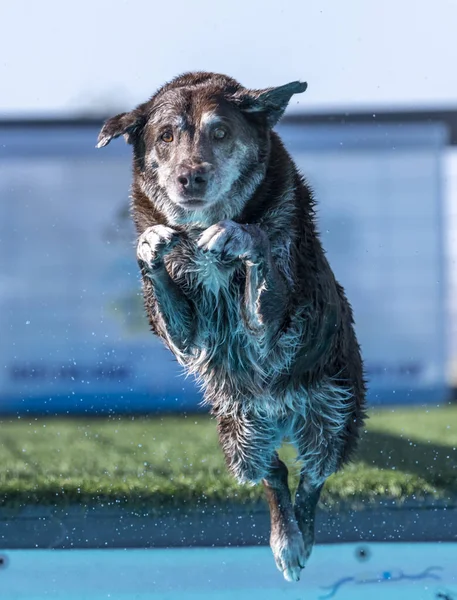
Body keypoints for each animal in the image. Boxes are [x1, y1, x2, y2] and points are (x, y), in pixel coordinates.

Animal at [97, 72, 366, 584]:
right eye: (166, 136)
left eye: (220, 132)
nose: (190, 176)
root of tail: (282, 415)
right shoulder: (190, 338)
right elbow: (175, 311)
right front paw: (153, 244)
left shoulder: (280, 326)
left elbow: (259, 254)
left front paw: (238, 235)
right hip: (240, 435)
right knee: (273, 473)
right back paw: (286, 537)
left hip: (334, 413)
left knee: (314, 474)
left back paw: (297, 540)